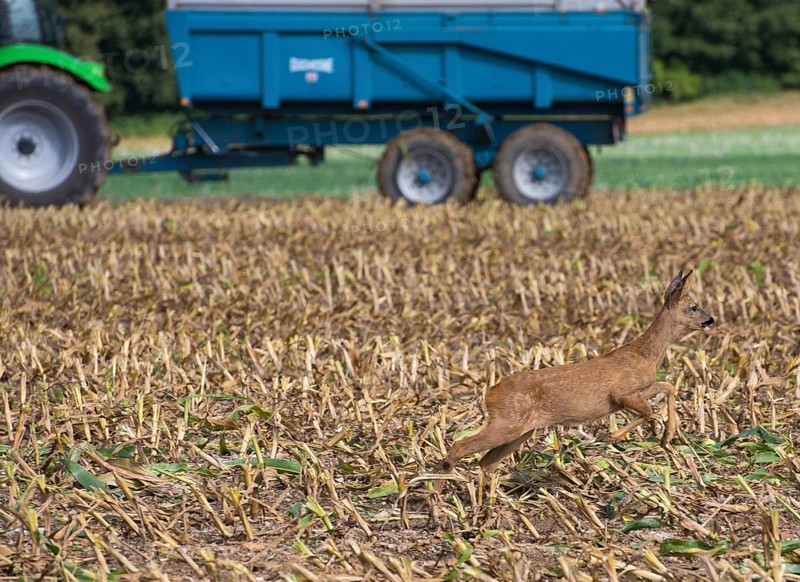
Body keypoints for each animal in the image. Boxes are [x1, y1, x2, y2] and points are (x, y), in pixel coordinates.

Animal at [438, 269, 714, 480]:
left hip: (520, 430)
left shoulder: (640, 388)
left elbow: (668, 386)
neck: (645, 355)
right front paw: (609, 436)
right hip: (507, 422)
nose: (710, 319)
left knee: (486, 462)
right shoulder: (621, 392)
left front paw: (668, 436)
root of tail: (489, 392)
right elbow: (649, 411)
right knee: (460, 447)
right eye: (694, 307)